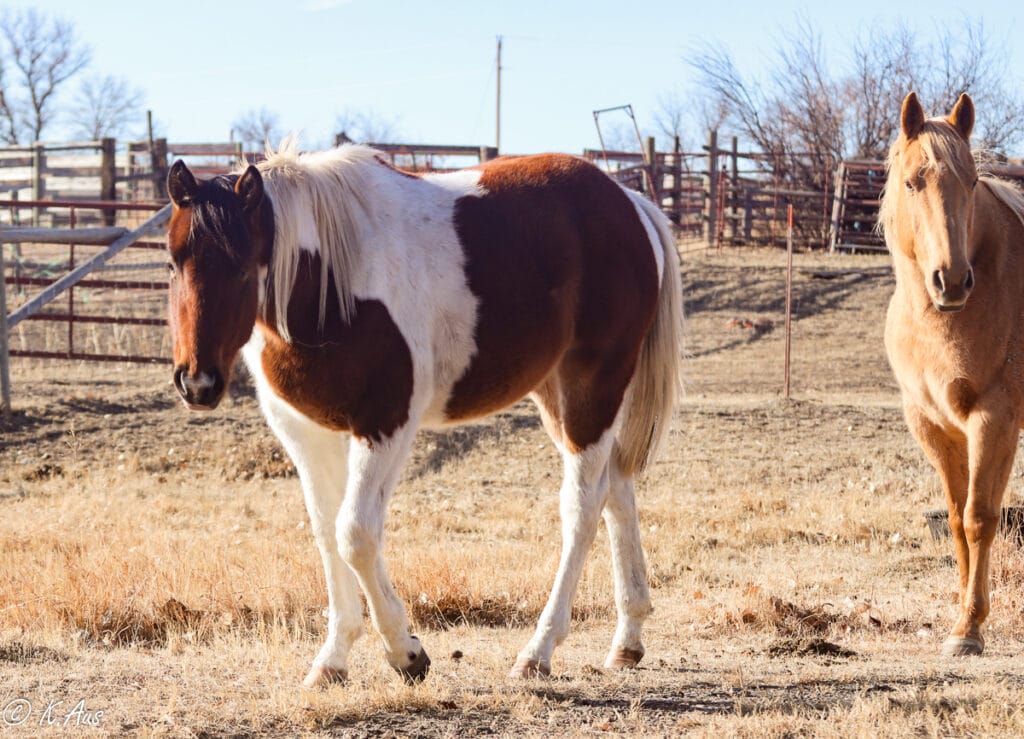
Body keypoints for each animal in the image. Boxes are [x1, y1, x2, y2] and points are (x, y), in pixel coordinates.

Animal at [163, 141, 683, 685]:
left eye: (243, 265)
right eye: (173, 262)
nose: (196, 383)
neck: (331, 281)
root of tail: (630, 204)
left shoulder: (385, 423)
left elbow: (355, 534)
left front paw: (405, 652)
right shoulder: (305, 433)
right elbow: (327, 532)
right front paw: (333, 659)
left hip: (593, 387)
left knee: (583, 505)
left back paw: (538, 651)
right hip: (558, 394)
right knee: (617, 488)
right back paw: (627, 640)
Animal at [881, 92, 1024, 656]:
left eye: (971, 181)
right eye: (911, 182)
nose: (953, 280)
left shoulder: (994, 418)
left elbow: (980, 516)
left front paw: (969, 629)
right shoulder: (934, 425)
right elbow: (958, 518)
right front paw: (964, 617)